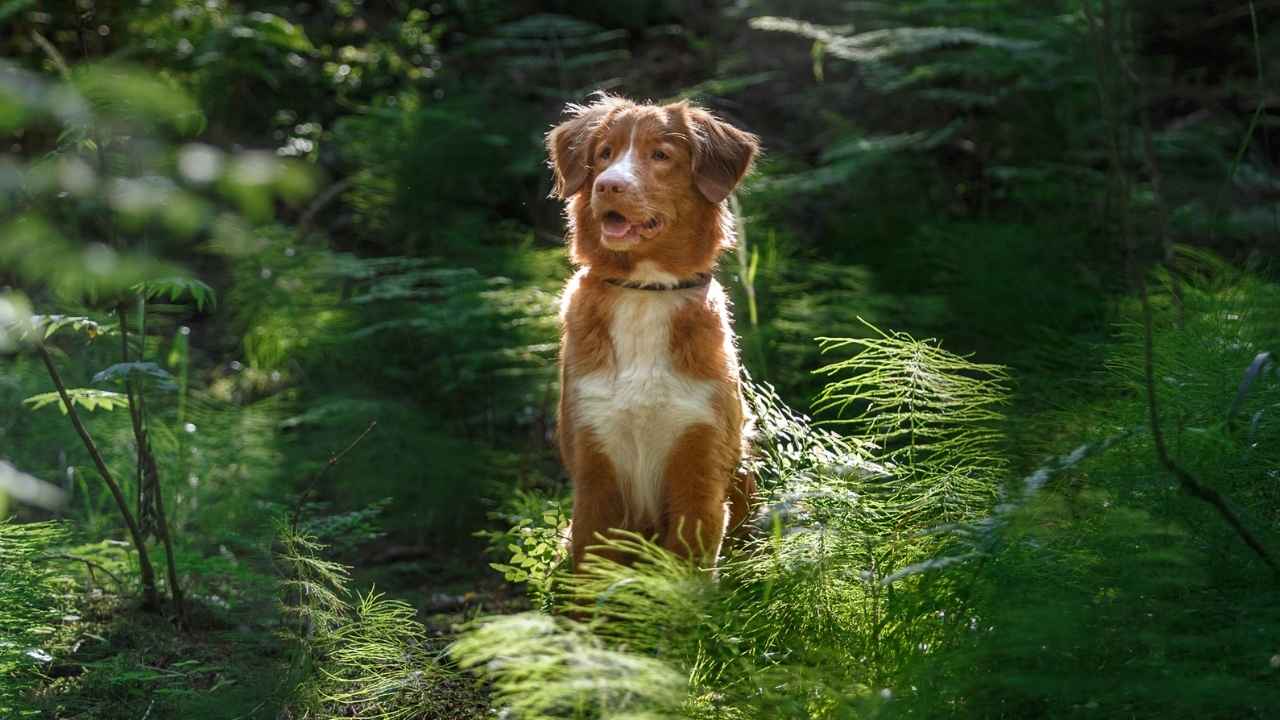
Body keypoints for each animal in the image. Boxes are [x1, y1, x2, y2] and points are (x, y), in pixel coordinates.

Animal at [542, 94, 757, 566]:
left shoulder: (699, 471)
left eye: (661, 155)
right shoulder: (595, 468)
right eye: (605, 154)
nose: (608, 186)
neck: (644, 291)